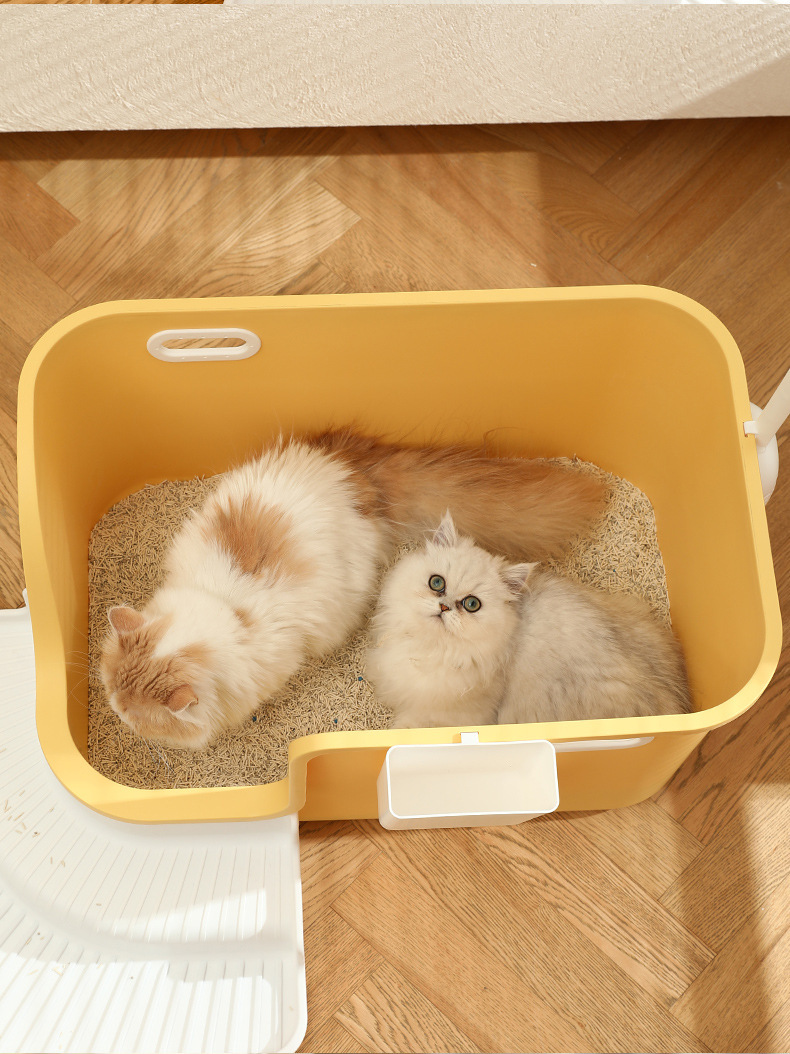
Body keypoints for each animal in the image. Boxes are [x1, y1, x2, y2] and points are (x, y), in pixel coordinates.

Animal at [365, 512, 691, 729]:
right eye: (437, 583)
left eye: (471, 604)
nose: (445, 607)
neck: (432, 647)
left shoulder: (453, 713)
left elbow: (409, 725)